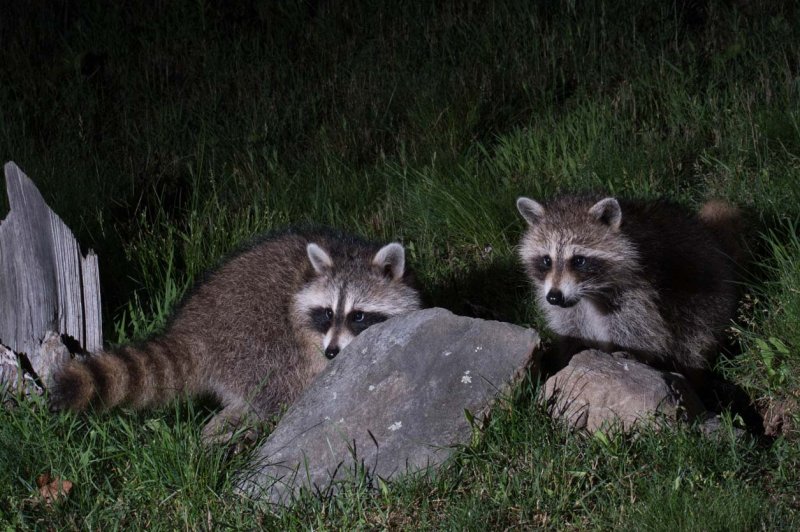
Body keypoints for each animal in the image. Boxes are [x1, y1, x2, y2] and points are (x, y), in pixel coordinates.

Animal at [50, 228, 422, 441]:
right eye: (327, 313)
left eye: (358, 315)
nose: (332, 353)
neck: (349, 255)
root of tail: (193, 331)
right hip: (252, 341)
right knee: (281, 382)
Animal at [516, 195, 740, 382]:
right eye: (546, 260)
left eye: (579, 261)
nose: (554, 297)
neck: (589, 297)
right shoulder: (569, 312)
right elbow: (571, 337)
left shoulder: (640, 299)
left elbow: (643, 341)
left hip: (703, 304)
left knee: (691, 344)